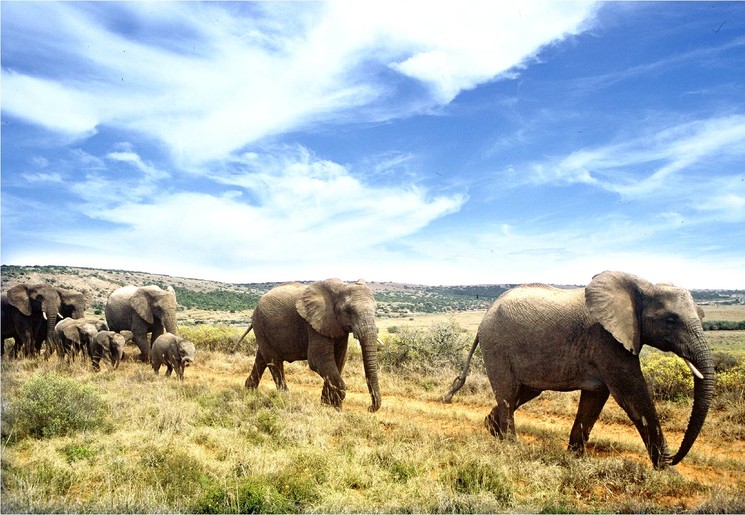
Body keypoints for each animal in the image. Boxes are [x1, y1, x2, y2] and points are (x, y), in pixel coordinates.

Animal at [237, 279, 381, 412]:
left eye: (375, 309)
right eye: (348, 311)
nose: (370, 408)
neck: (341, 287)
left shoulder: (336, 326)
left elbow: (340, 359)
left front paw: (327, 405)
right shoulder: (314, 323)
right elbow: (318, 360)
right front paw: (335, 408)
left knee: (262, 358)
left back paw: (249, 392)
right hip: (260, 324)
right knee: (274, 362)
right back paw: (285, 399)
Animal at [443, 271, 715, 469]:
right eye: (671, 320)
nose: (674, 458)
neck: (643, 285)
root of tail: (484, 317)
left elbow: (595, 399)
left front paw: (576, 458)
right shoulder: (607, 340)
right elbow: (633, 396)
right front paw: (667, 471)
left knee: (523, 392)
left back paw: (492, 429)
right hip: (496, 346)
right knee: (508, 393)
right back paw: (510, 445)